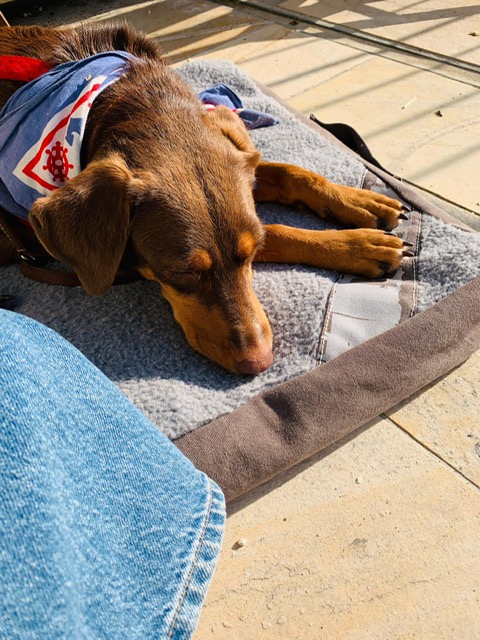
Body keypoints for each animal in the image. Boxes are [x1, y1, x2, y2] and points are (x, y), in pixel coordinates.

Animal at [0, 24, 411, 375]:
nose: (259, 363)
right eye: (183, 272)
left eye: (249, 254)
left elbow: (290, 173)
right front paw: (361, 246)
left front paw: (361, 206)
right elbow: (278, 229)